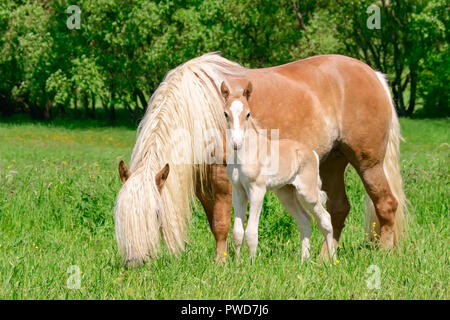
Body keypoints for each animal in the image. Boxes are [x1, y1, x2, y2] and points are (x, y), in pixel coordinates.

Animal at [221, 81, 334, 262]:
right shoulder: (238, 191)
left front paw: (251, 263)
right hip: (286, 193)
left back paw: (332, 260)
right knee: (305, 220)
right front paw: (238, 263)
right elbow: (237, 233)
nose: (236, 143)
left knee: (325, 220)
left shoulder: (257, 190)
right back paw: (304, 260)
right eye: (226, 114)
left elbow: (251, 232)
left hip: (307, 193)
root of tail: (312, 153)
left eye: (248, 114)